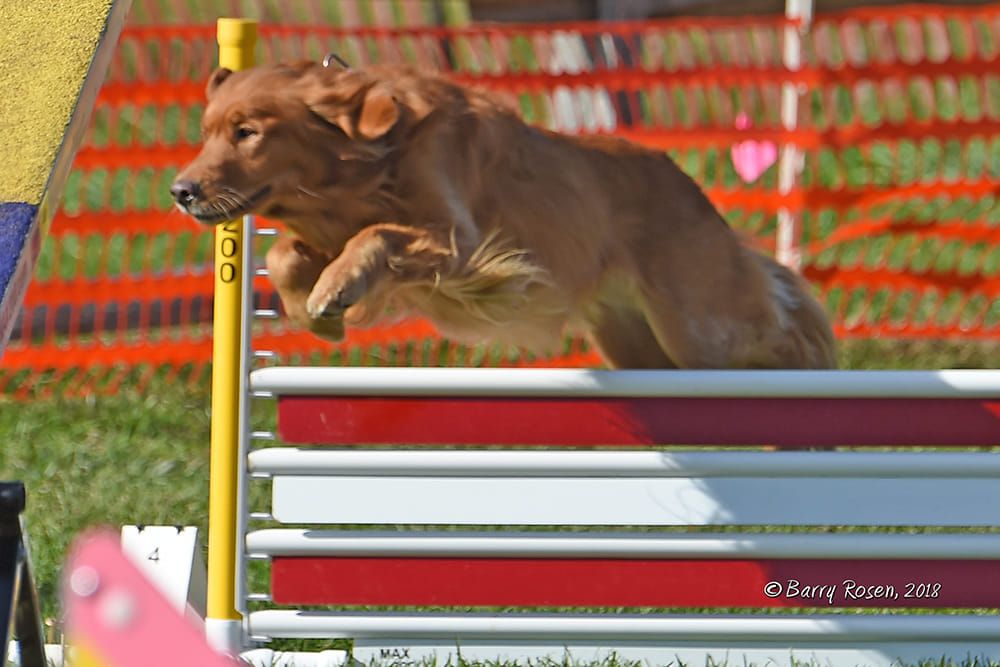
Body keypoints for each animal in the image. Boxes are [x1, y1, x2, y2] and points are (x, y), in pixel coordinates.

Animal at [172, 59, 836, 368]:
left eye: (248, 132)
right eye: (205, 133)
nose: (181, 191)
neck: (376, 159)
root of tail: (689, 185)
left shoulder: (459, 243)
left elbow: (377, 236)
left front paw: (334, 290)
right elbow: (285, 252)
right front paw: (319, 316)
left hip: (696, 326)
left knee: (782, 328)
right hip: (637, 344)